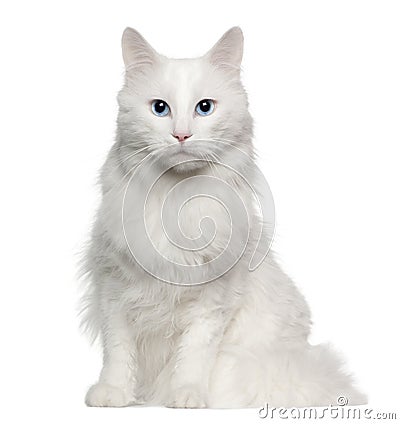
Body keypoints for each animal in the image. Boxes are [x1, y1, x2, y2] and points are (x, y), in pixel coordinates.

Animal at [81, 25, 366, 408]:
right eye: (160, 109)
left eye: (205, 108)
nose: (181, 134)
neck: (176, 201)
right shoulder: (114, 287)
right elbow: (118, 352)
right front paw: (113, 394)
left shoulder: (212, 301)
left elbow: (193, 355)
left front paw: (186, 396)